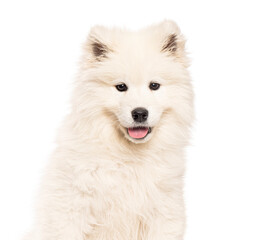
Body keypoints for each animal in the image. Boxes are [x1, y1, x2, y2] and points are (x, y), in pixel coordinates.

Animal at [24, 19, 193, 239]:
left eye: (154, 85)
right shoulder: (71, 207)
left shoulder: (164, 210)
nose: (140, 113)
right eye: (121, 87)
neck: (130, 156)